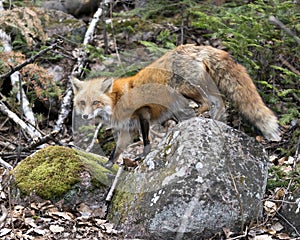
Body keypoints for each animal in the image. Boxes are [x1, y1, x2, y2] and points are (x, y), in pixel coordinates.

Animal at [71, 44, 280, 166]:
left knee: (207, 103)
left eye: (96, 102)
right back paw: (214, 121)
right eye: (82, 103)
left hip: (183, 89)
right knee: (220, 102)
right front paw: (107, 164)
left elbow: (146, 140)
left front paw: (143, 155)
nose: (85, 116)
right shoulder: (127, 130)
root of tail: (192, 46)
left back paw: (194, 117)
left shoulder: (143, 114)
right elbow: (116, 151)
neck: (116, 100)